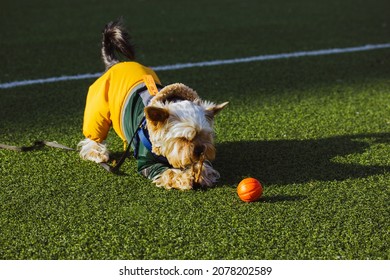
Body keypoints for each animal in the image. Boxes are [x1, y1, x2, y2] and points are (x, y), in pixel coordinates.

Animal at [77, 19, 227, 190]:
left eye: (205, 135)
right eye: (183, 139)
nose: (200, 150)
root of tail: (114, 63)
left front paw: (202, 173)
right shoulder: (148, 164)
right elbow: (169, 172)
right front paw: (184, 178)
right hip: (98, 109)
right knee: (94, 134)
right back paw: (96, 152)